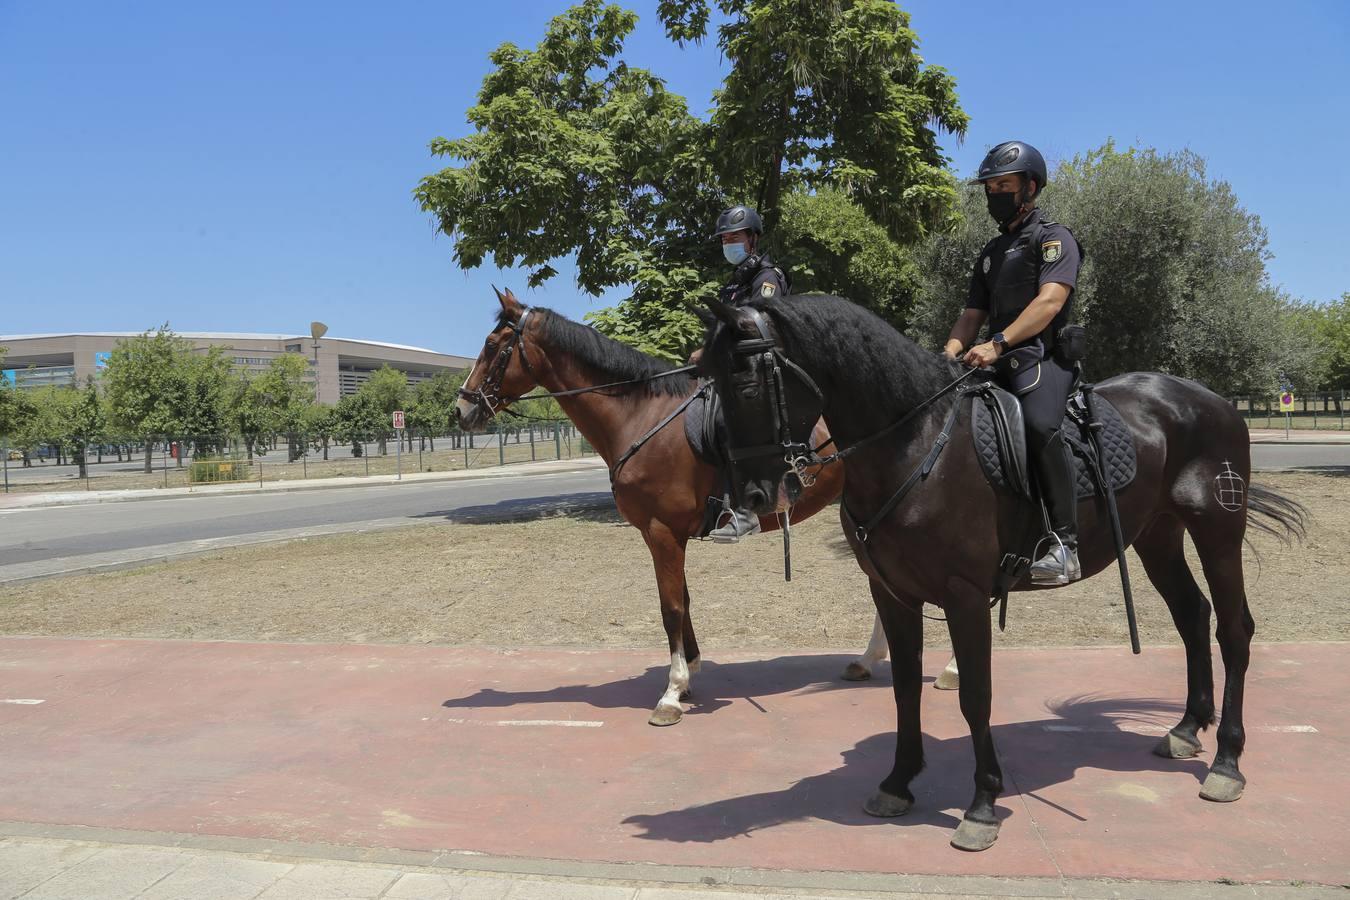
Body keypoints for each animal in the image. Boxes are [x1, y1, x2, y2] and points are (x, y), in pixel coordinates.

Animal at [459, 288, 847, 723]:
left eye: (492, 345)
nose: (461, 408)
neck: (640, 416)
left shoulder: (663, 532)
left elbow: (671, 608)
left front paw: (672, 692)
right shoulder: (661, 534)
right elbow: (683, 600)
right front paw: (689, 672)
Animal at [696, 294, 1306, 852]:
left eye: (745, 386)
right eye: (713, 384)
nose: (752, 496)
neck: (916, 444)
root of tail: (1213, 401)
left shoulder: (964, 596)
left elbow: (975, 695)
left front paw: (982, 804)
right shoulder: (893, 593)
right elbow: (904, 689)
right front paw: (898, 782)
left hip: (1217, 532)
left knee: (1233, 631)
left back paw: (1226, 761)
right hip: (1156, 536)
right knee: (1192, 617)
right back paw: (1185, 729)